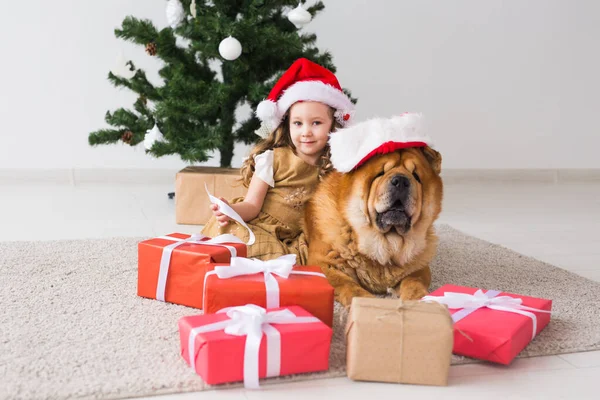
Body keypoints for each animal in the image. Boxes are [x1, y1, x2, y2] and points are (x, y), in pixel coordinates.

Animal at [304, 141, 440, 306]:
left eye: (416, 176)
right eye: (380, 174)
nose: (401, 181)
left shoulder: (419, 267)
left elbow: (414, 282)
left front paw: (420, 301)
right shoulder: (323, 262)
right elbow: (349, 286)